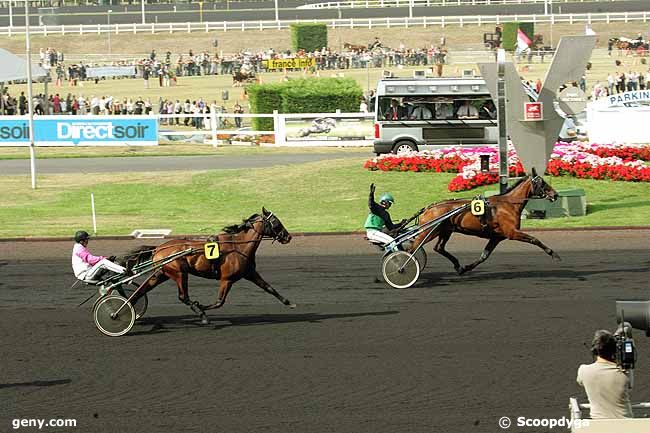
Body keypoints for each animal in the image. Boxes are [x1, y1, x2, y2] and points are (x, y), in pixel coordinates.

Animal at [126, 208, 294, 322]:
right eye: (276, 222)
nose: (288, 237)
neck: (238, 246)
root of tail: (158, 248)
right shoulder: (227, 279)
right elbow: (220, 302)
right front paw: (201, 307)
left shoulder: (250, 273)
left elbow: (269, 288)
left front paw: (289, 303)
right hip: (179, 273)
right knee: (183, 296)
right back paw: (200, 313)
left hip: (161, 274)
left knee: (141, 291)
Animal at [408, 170, 560, 276]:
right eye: (542, 183)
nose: (555, 194)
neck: (508, 204)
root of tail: (428, 208)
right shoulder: (512, 233)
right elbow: (534, 239)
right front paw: (553, 254)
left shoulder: (497, 237)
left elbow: (484, 256)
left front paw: (466, 268)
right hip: (429, 231)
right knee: (413, 248)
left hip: (445, 231)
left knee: (439, 248)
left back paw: (457, 266)